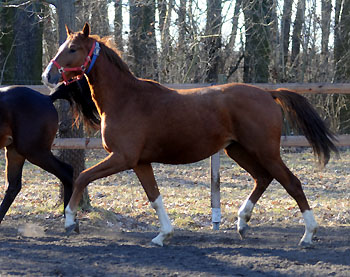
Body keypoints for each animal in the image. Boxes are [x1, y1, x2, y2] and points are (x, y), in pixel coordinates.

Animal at [42, 23, 338, 246]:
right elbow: (154, 198)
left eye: (72, 48)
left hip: (265, 151)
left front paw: (70, 221)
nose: (47, 75)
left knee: (292, 183)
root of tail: (268, 94)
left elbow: (82, 177)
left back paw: (308, 235)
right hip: (238, 149)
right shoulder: (140, 162)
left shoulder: (123, 158)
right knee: (263, 178)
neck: (125, 99)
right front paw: (163, 235)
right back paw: (242, 223)